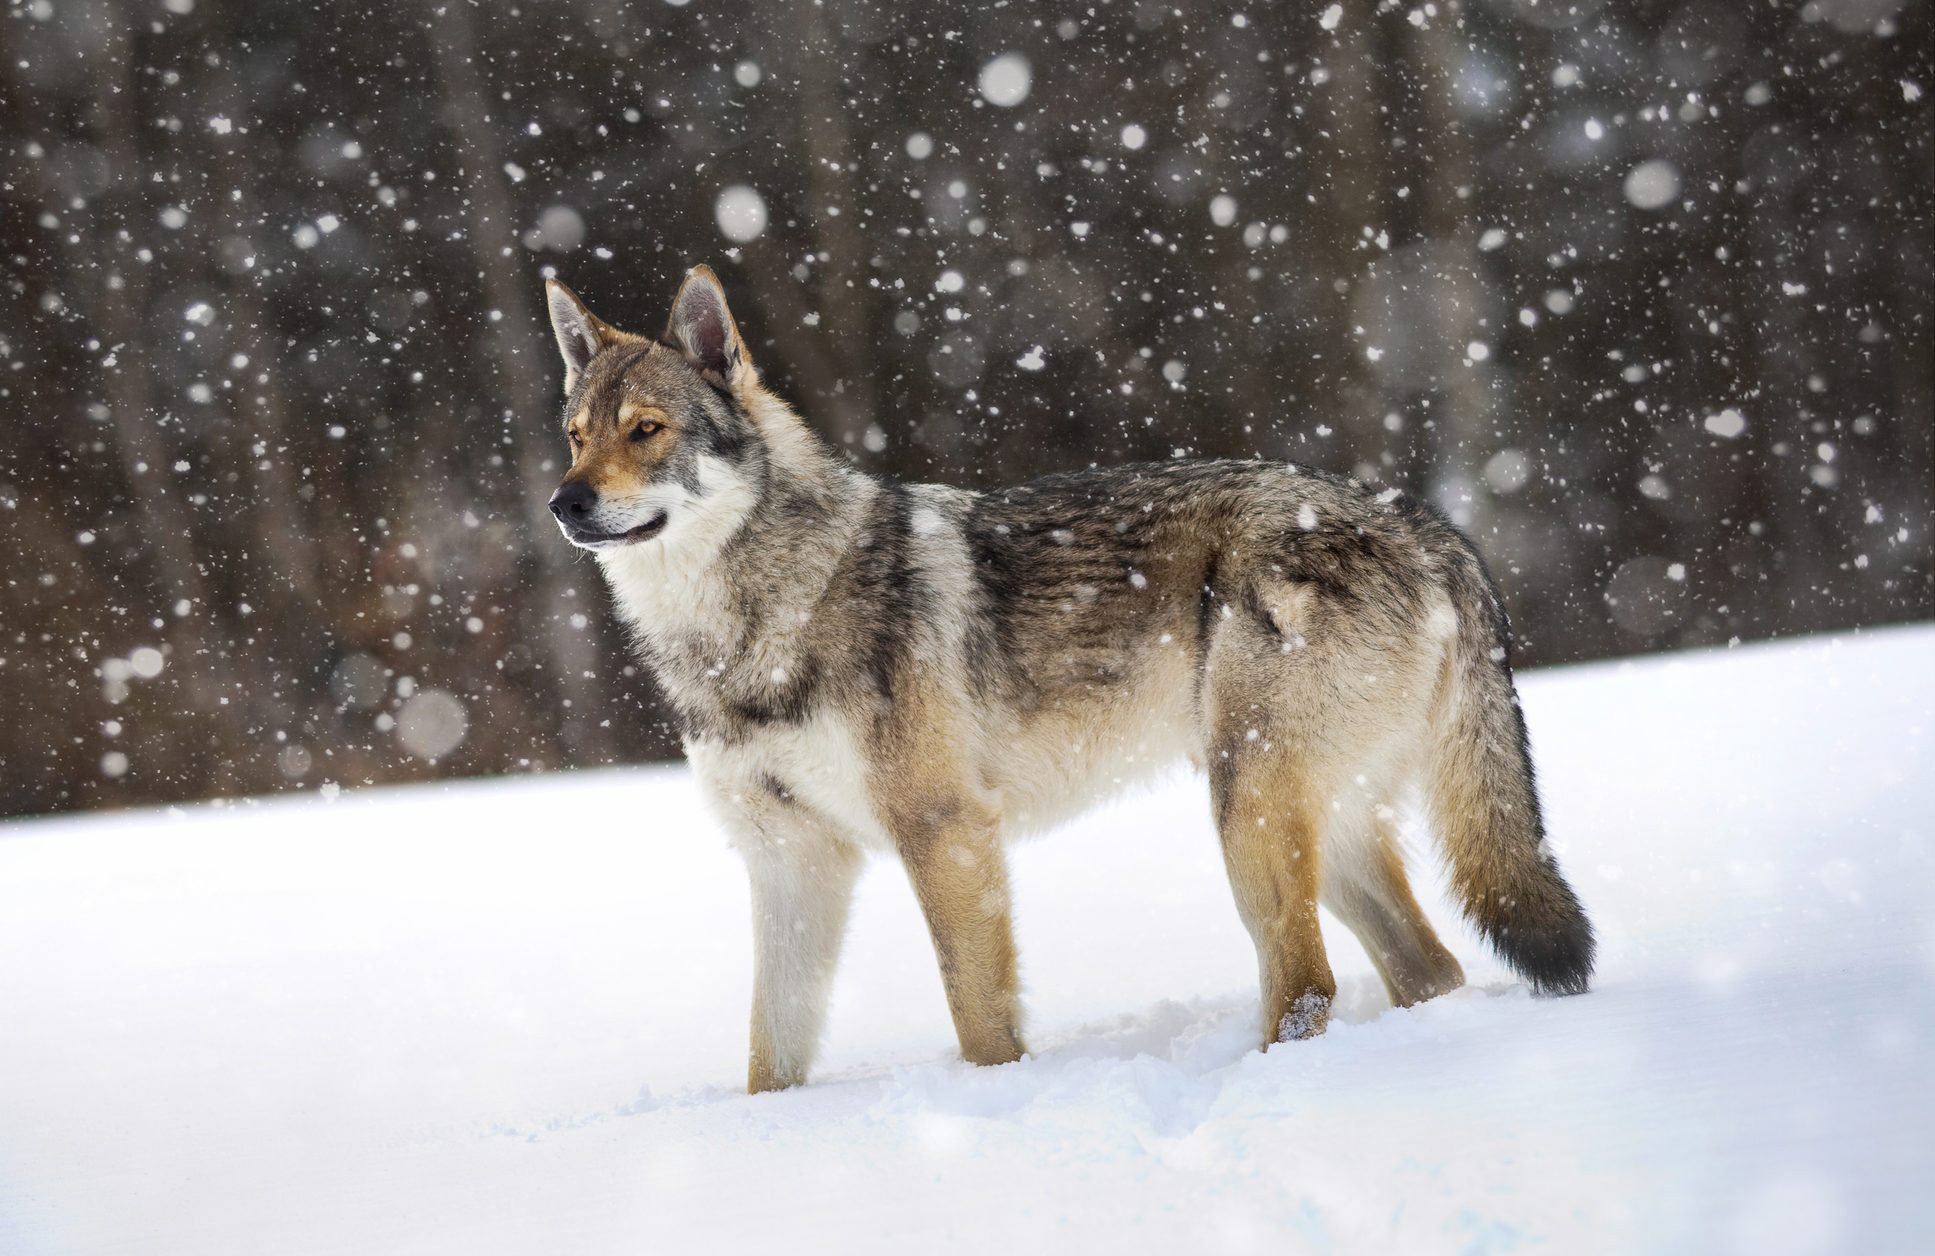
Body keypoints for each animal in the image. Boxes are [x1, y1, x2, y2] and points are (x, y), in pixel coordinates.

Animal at [542, 265, 1594, 1092]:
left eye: (647, 430)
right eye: (575, 433)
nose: (563, 502)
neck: (742, 632)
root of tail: (1420, 520)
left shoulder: (945, 834)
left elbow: (980, 1024)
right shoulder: (789, 862)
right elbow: (769, 1058)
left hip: (1248, 812)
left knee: (1308, 985)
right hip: (1305, 820)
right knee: (1427, 971)